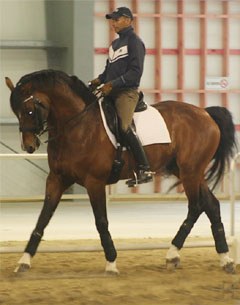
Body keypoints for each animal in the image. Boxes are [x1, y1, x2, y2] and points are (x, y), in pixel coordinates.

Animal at [4, 69, 237, 274]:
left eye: (30, 110)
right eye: (16, 112)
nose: (29, 146)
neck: (76, 126)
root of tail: (205, 113)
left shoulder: (94, 181)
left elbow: (101, 221)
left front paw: (111, 263)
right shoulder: (57, 179)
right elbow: (43, 218)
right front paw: (24, 261)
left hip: (190, 172)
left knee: (196, 206)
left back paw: (173, 254)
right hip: (186, 171)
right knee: (210, 205)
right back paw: (225, 259)